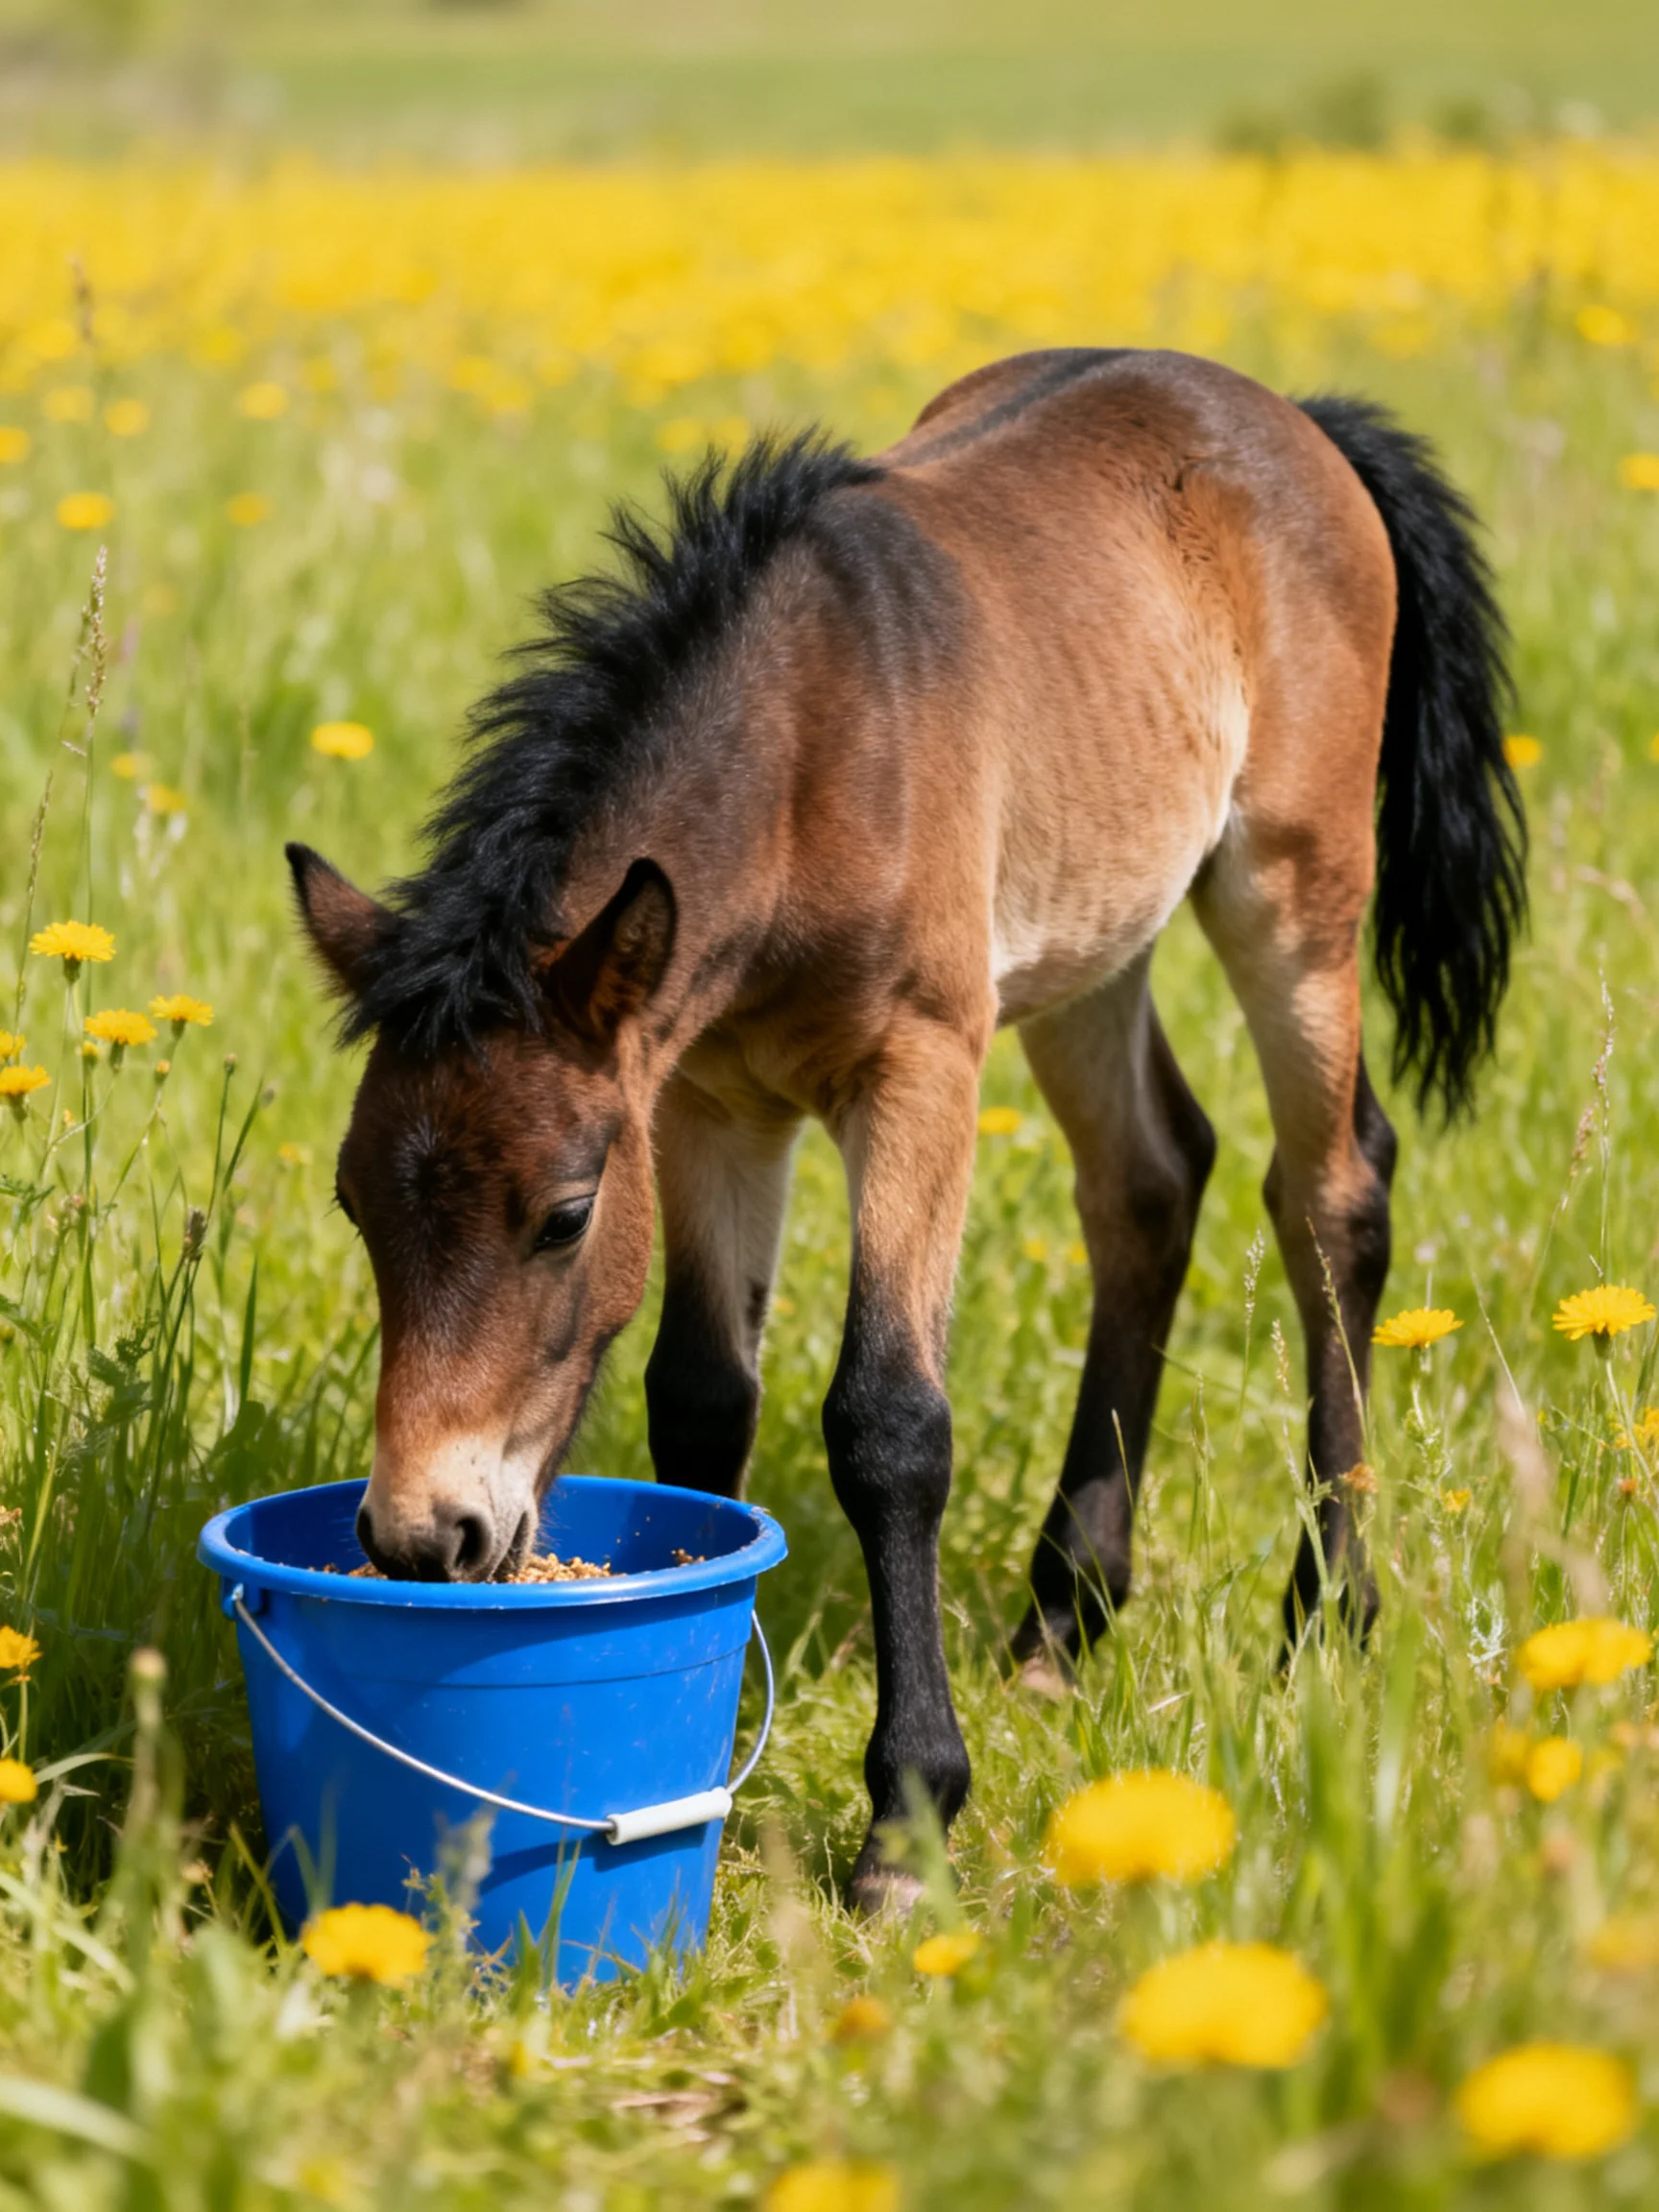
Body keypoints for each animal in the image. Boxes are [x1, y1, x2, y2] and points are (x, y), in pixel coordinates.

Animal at [288, 347, 1524, 1910]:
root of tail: (1290, 414)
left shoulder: (921, 1066)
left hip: (1295, 892)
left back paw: (1327, 1619)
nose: (421, 1536)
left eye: (564, 1215)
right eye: (358, 1209)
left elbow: (887, 1423)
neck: (812, 747)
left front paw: (907, 1820)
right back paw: (1063, 1625)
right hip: (1089, 947)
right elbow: (705, 1400)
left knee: (1332, 1197)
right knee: (1150, 1180)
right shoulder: (706, 1100)